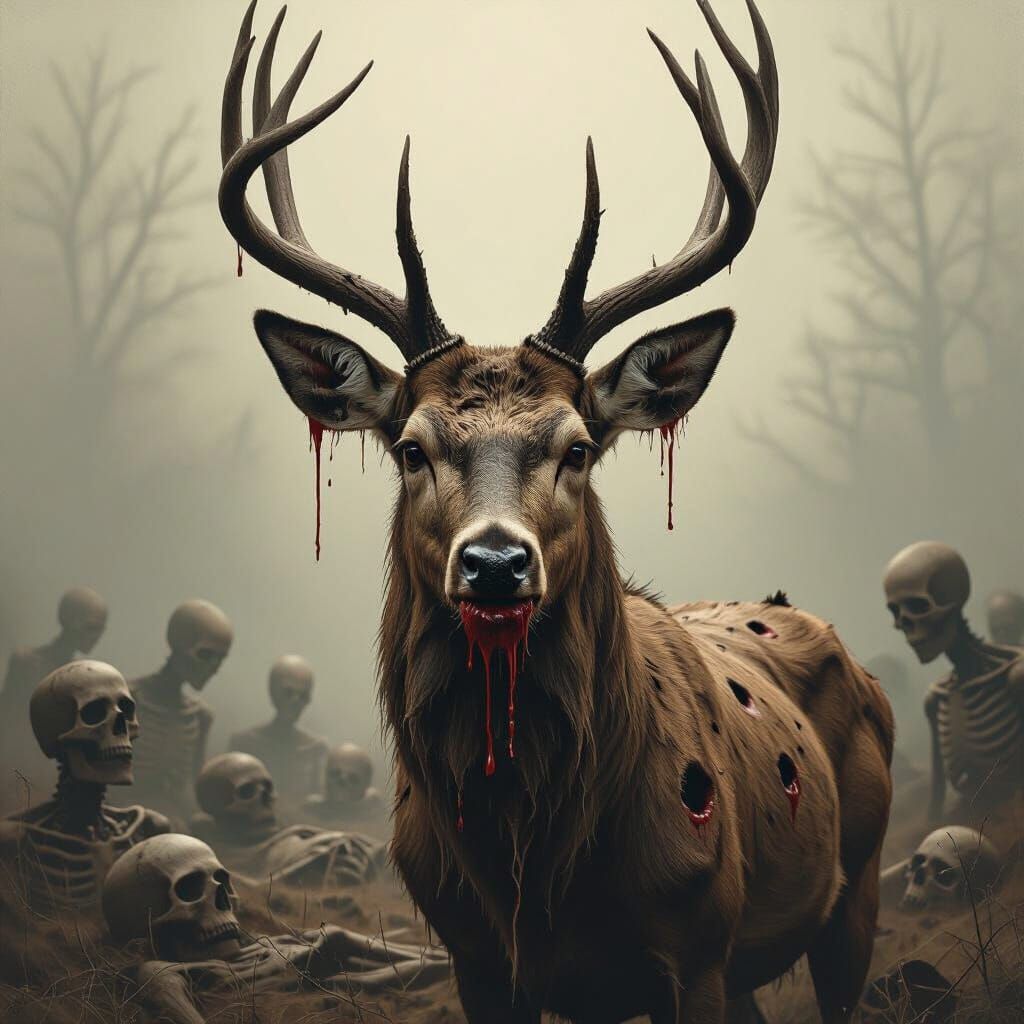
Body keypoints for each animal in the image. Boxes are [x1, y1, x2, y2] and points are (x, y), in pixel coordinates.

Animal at [219, 2, 893, 1021]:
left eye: (578, 448)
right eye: (409, 447)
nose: (496, 564)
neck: (536, 871)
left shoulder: (698, 943)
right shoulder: (475, 956)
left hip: (858, 880)